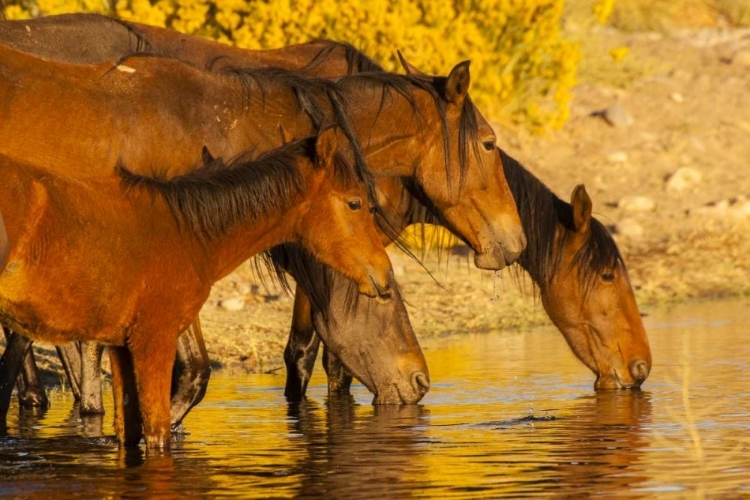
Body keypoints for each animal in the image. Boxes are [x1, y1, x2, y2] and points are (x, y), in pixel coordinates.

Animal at [0, 127, 396, 448]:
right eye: (355, 203)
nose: (384, 275)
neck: (186, 233)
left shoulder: (121, 348)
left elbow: (130, 431)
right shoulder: (154, 342)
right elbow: (158, 432)